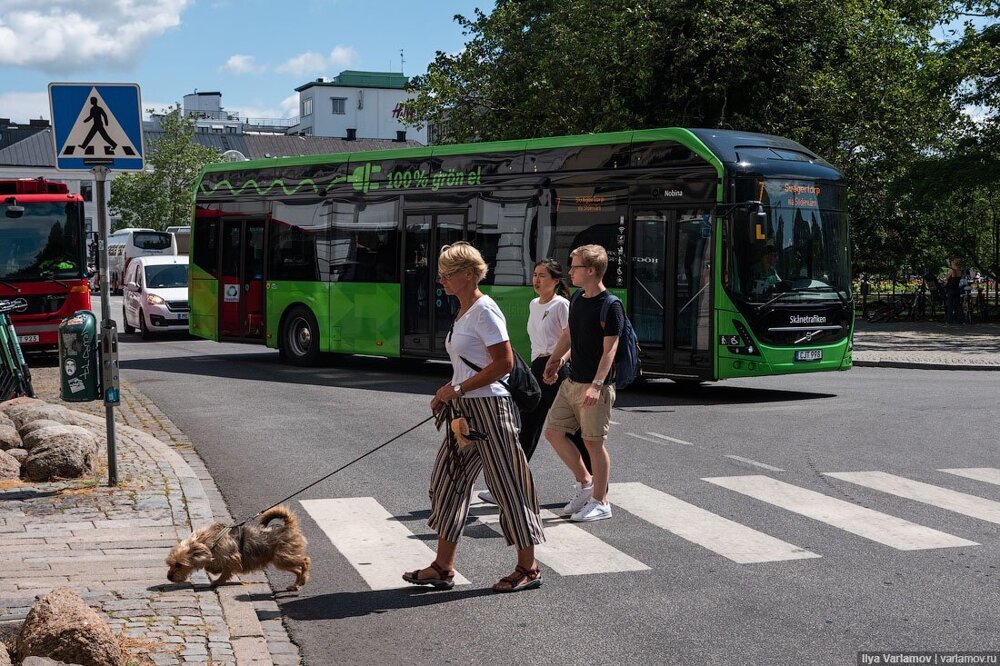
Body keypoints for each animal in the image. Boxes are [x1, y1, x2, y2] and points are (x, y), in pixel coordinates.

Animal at [166, 506, 310, 588]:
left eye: (179, 564)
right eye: (170, 564)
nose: (168, 577)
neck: (210, 540)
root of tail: (288, 526)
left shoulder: (232, 559)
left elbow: (224, 572)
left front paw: (217, 581)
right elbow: (213, 566)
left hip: (282, 558)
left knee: (305, 561)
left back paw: (303, 578)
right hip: (282, 561)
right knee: (297, 569)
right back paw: (297, 584)